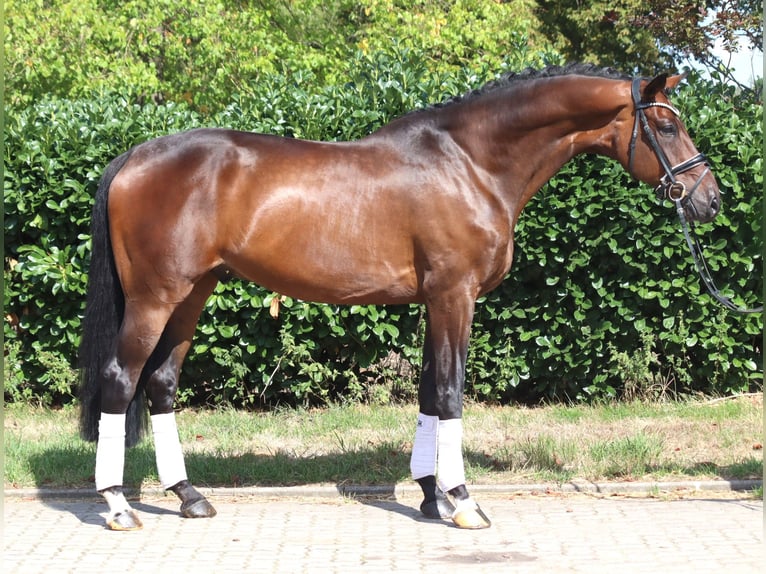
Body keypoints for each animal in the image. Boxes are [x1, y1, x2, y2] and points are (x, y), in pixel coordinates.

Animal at [78, 63, 719, 531]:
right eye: (666, 127)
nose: (708, 199)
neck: (471, 164)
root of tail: (135, 156)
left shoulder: (436, 300)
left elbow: (430, 393)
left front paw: (432, 494)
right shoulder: (456, 295)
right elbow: (452, 391)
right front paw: (464, 501)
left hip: (192, 293)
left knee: (161, 383)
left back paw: (189, 496)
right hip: (156, 297)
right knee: (120, 378)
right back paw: (117, 506)